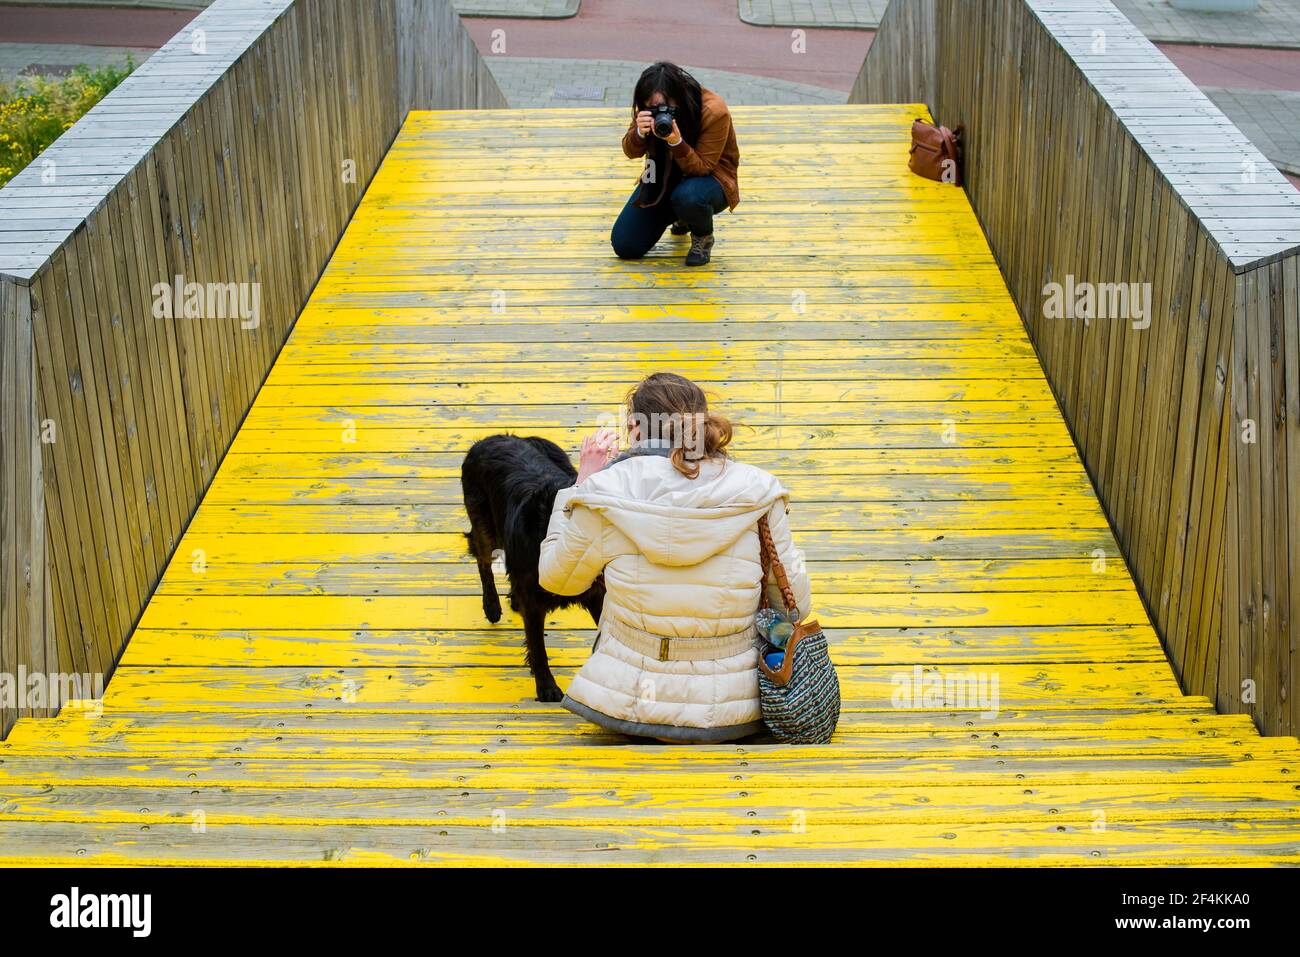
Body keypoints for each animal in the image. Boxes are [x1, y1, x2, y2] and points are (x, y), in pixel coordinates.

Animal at [462, 434, 603, 702]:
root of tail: (493, 437)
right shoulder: (534, 601)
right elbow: (538, 648)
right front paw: (547, 688)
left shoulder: (596, 594)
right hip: (485, 527)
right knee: (483, 561)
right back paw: (492, 606)